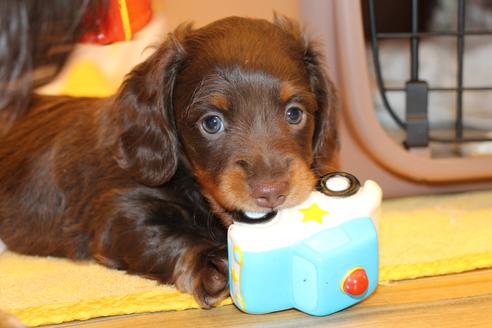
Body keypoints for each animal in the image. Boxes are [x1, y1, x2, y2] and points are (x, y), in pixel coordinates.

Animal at [0, 16, 336, 308]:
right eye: (211, 122)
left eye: (294, 113)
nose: (272, 192)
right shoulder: (119, 212)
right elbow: (164, 236)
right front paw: (211, 263)